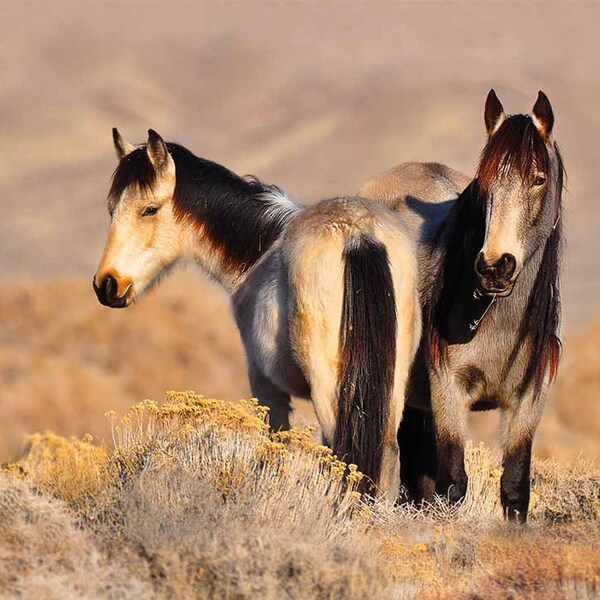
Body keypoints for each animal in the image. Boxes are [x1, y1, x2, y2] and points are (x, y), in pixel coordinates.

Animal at [95, 129, 422, 500]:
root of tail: (357, 234)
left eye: (149, 210)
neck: (261, 250)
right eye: (112, 209)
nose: (108, 284)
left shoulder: (264, 383)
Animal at [358, 90, 564, 520]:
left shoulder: (529, 400)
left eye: (539, 179)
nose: (495, 267)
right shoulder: (449, 392)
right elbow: (453, 484)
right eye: (484, 185)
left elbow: (515, 488)